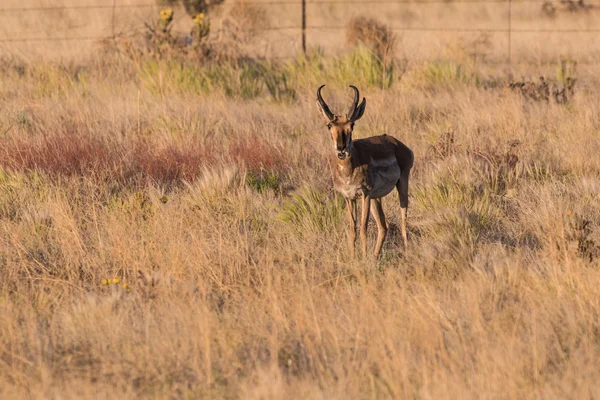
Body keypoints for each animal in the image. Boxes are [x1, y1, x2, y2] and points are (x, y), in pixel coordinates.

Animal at [318, 85, 412, 260]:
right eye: (329, 126)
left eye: (352, 125)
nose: (341, 149)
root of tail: (397, 143)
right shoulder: (349, 198)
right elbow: (352, 230)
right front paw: (354, 258)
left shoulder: (365, 195)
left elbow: (363, 229)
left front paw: (362, 258)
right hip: (376, 199)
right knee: (383, 226)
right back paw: (375, 257)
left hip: (401, 186)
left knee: (403, 222)